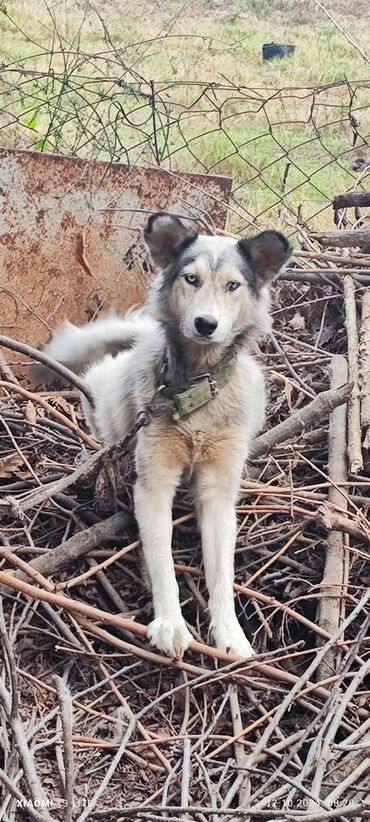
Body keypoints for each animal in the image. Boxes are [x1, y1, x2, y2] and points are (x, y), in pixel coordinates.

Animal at [41, 214, 292, 664]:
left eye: (233, 285)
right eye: (191, 279)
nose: (206, 324)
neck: (193, 394)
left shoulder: (218, 492)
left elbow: (222, 573)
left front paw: (231, 634)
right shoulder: (153, 486)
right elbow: (163, 563)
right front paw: (171, 624)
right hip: (106, 406)